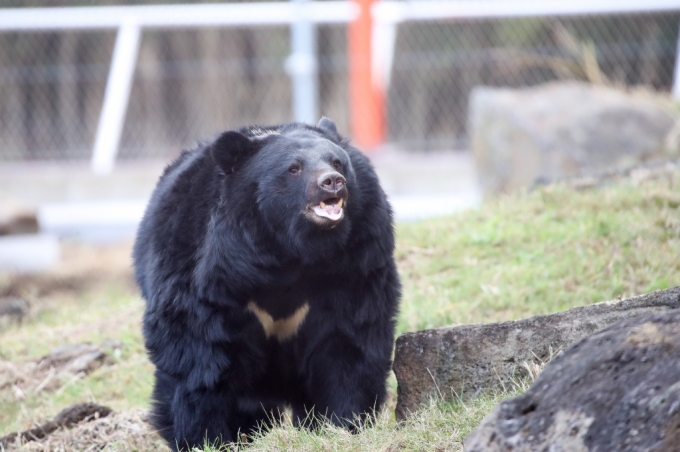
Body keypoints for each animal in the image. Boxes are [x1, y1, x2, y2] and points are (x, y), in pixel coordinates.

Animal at [133, 118, 398, 450]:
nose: (333, 182)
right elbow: (199, 356)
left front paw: (343, 425)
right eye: (294, 168)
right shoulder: (205, 275)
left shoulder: (354, 264)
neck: (290, 251)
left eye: (338, 162)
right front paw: (205, 438)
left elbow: (348, 341)